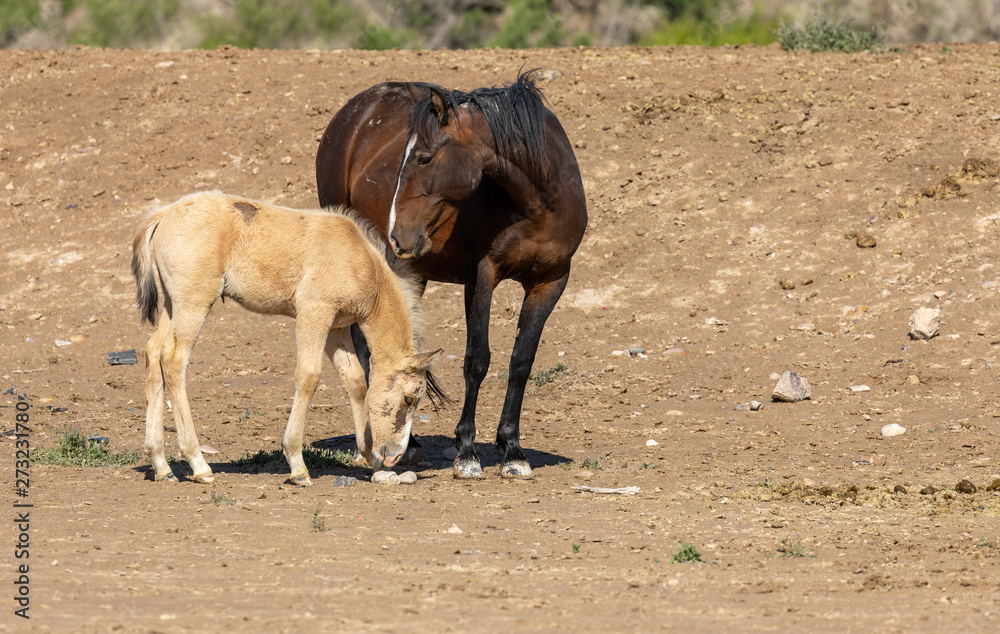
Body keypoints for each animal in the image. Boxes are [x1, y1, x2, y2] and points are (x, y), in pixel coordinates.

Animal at [131, 191, 443, 485]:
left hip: (172, 304)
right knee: (173, 360)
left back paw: (161, 466)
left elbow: (355, 381)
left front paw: (369, 456)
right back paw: (198, 464)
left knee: (153, 353)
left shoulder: (337, 327)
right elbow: (308, 376)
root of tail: (163, 215)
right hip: (193, 304)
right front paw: (297, 465)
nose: (394, 456)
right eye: (409, 399)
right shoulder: (314, 312)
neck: (360, 260)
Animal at [316, 71, 588, 479]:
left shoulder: (550, 282)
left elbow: (521, 361)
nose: (397, 233)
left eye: (424, 157)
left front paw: (513, 450)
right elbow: (477, 360)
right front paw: (468, 452)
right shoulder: (482, 276)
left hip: (413, 273)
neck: (536, 204)